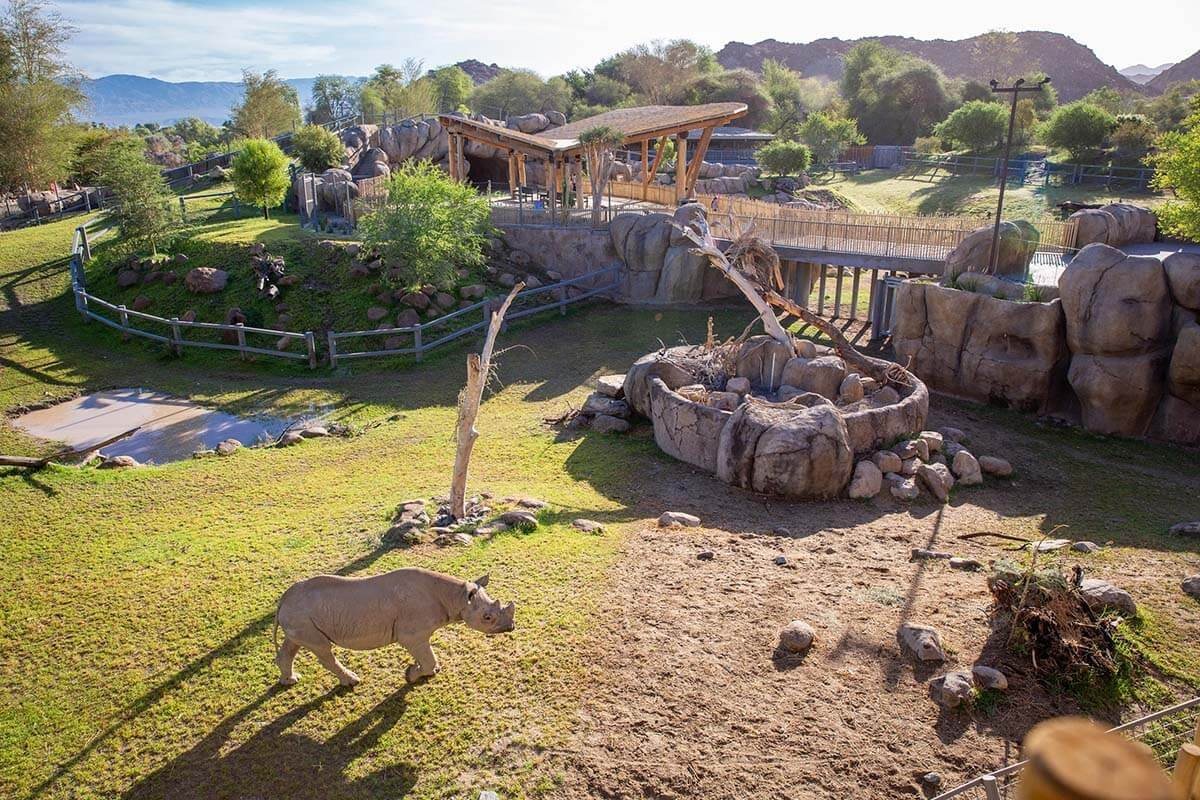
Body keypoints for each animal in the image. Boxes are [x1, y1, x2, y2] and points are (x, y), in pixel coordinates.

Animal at [273, 568, 516, 687]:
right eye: (487, 617)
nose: (511, 627)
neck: (456, 597)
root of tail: (282, 601)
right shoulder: (411, 634)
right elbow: (428, 658)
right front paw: (412, 675)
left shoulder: (417, 635)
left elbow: (427, 657)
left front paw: (423, 671)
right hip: (302, 616)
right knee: (322, 649)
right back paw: (352, 682)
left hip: (298, 616)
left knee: (293, 644)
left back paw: (290, 681)